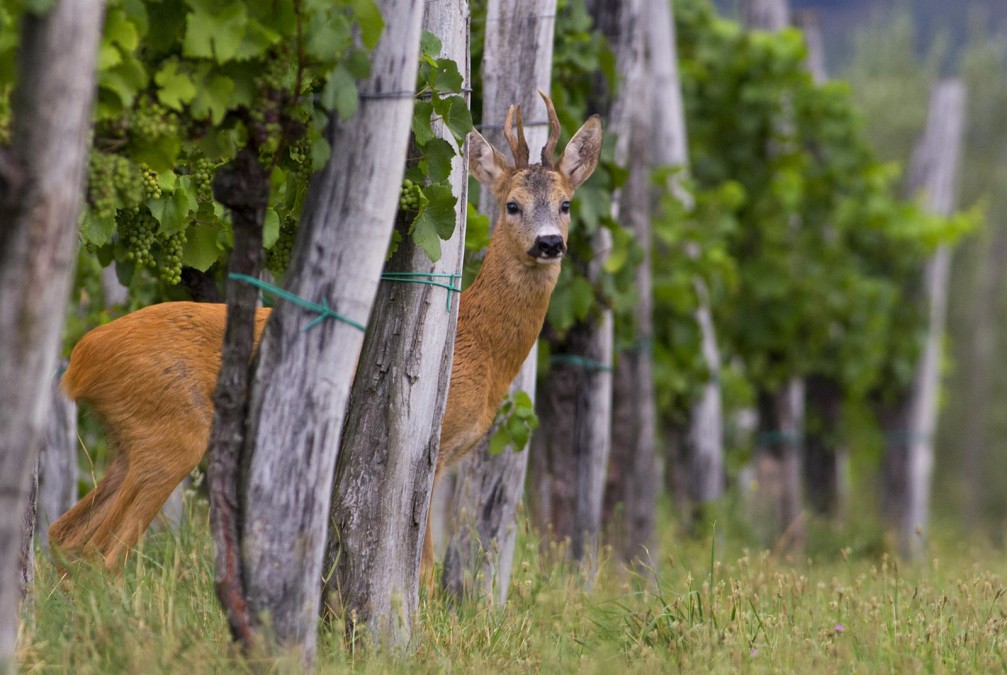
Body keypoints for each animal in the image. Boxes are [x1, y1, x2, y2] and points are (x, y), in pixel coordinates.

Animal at [49, 88, 596, 576]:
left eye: (566, 204)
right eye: (513, 205)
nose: (549, 243)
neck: (475, 345)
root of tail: (81, 359)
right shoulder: (430, 448)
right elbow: (422, 569)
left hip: (130, 438)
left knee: (65, 536)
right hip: (173, 429)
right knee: (104, 553)